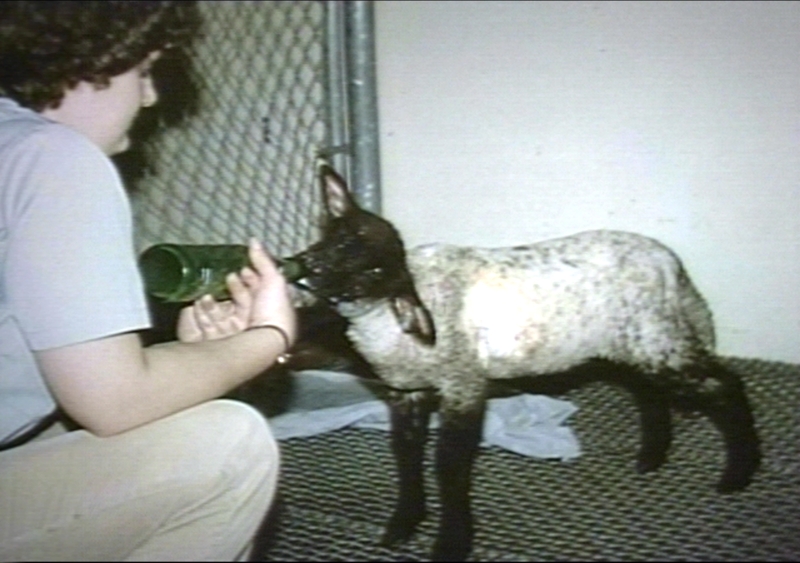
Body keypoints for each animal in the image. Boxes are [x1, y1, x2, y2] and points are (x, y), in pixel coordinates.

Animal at [289, 162, 762, 562]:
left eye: (374, 274)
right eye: (337, 236)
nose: (310, 269)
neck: (389, 321)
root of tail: (672, 264)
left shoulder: (463, 385)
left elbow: (450, 467)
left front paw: (452, 543)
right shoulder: (406, 392)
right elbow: (405, 456)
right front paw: (403, 524)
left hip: (658, 339)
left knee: (725, 386)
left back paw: (738, 475)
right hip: (631, 342)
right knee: (647, 391)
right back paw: (651, 457)